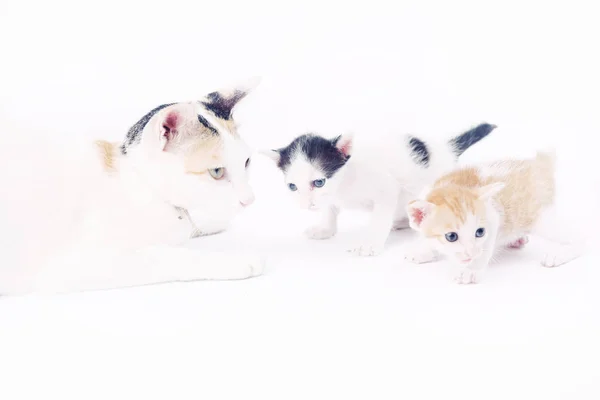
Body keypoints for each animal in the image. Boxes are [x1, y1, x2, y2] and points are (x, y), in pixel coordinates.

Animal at [0, 79, 264, 296]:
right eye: (217, 172)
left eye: (246, 162)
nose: (250, 199)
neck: (140, 184)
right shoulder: (73, 265)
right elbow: (168, 255)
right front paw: (240, 261)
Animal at [262, 123, 496, 256]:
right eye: (292, 186)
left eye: (319, 182)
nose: (307, 205)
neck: (344, 184)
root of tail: (445, 149)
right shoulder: (332, 198)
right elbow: (329, 209)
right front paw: (325, 229)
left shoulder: (387, 188)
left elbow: (380, 218)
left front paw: (371, 243)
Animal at [404, 150, 580, 284]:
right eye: (451, 236)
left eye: (480, 232)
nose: (471, 253)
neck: (452, 184)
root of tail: (539, 162)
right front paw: (423, 250)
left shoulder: (493, 217)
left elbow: (485, 247)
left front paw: (471, 269)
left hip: (539, 218)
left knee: (580, 237)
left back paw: (559, 254)